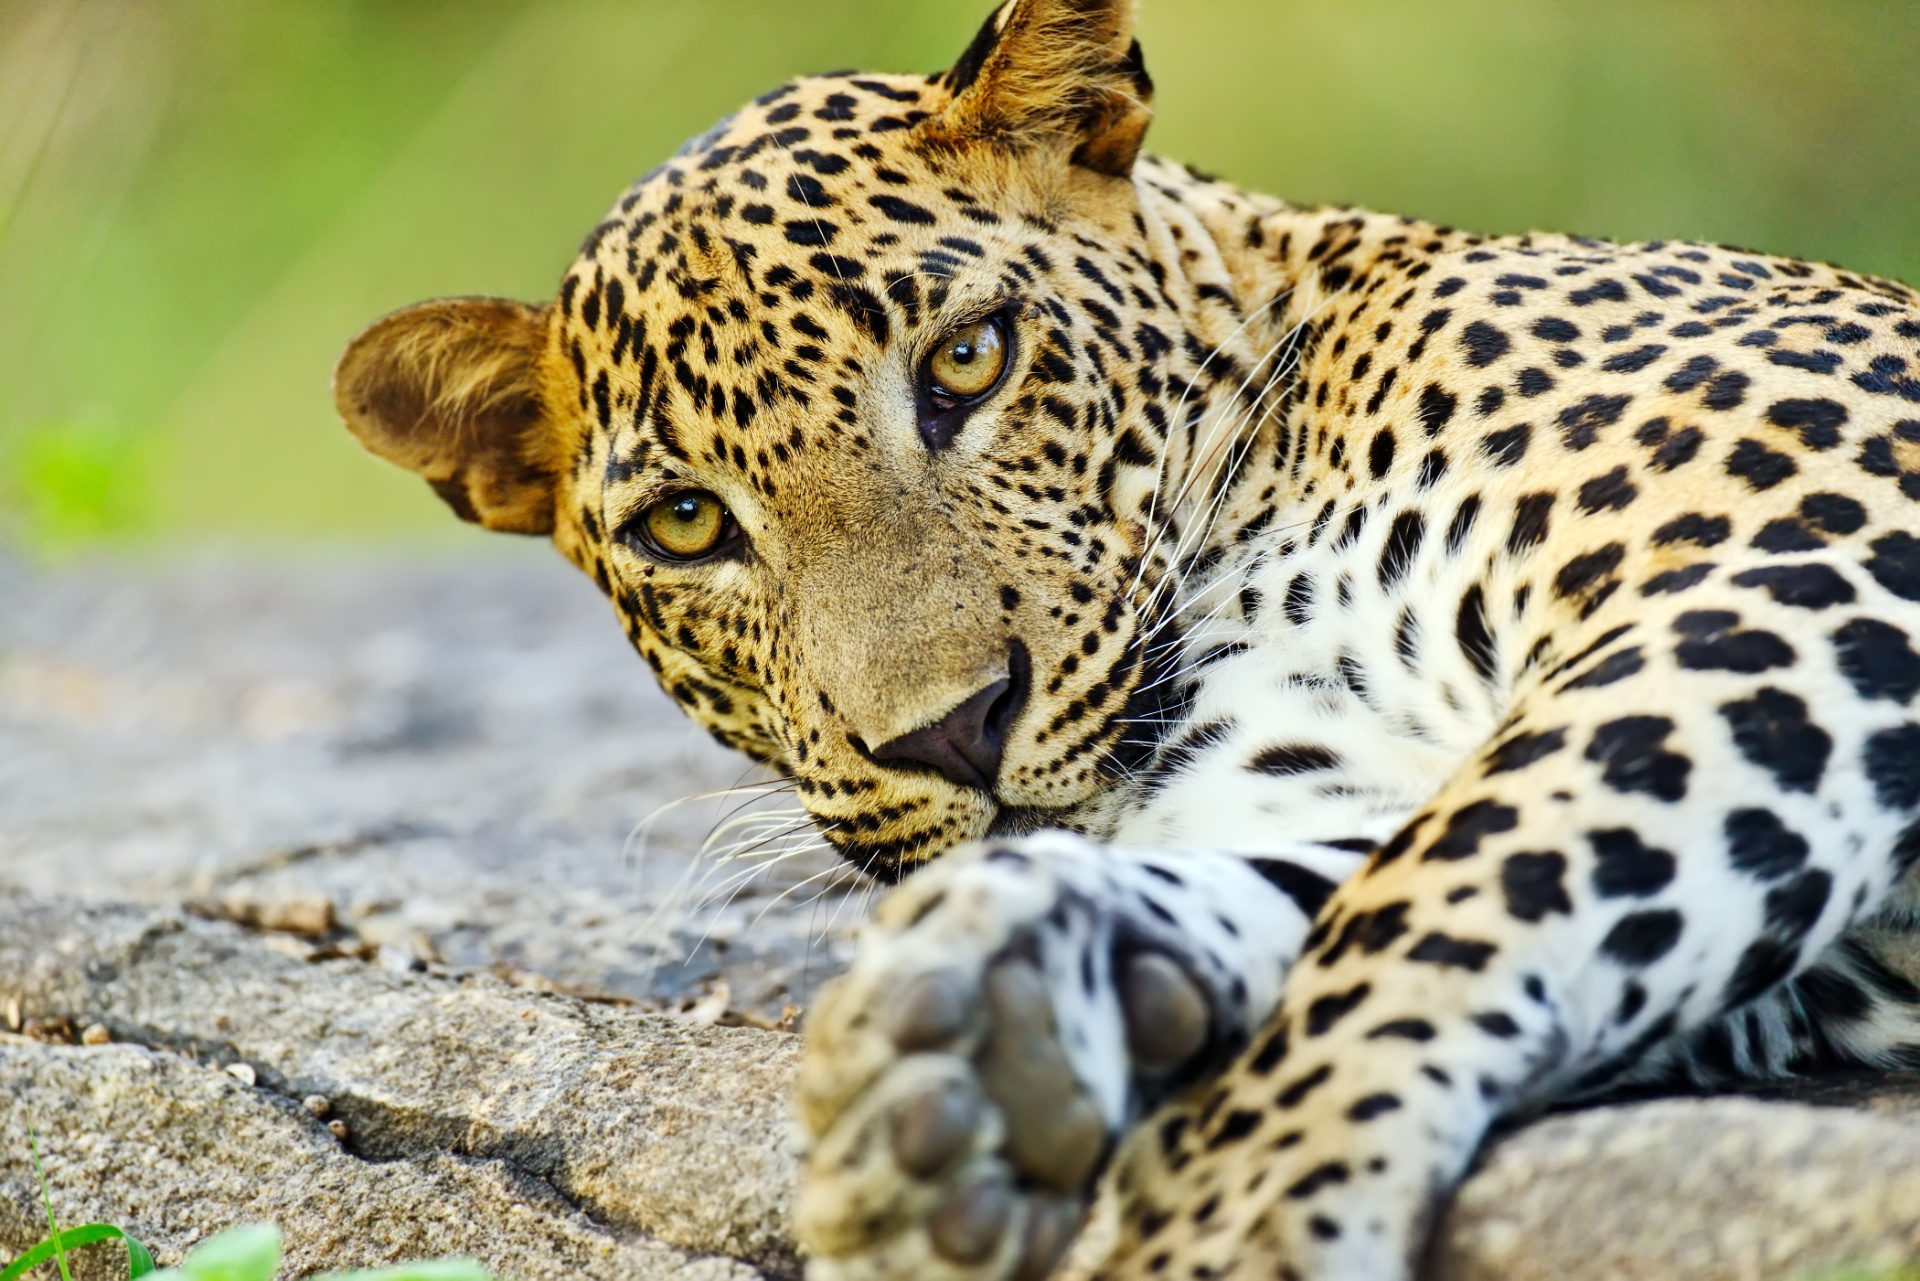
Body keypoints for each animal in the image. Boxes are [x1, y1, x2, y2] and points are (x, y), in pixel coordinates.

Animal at [330, 1, 1920, 1276]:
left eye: (969, 360)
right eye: (683, 524)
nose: (952, 730)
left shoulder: (1796, 545)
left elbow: (1455, 880)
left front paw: (1231, 1218)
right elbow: (1357, 875)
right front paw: (990, 1031)